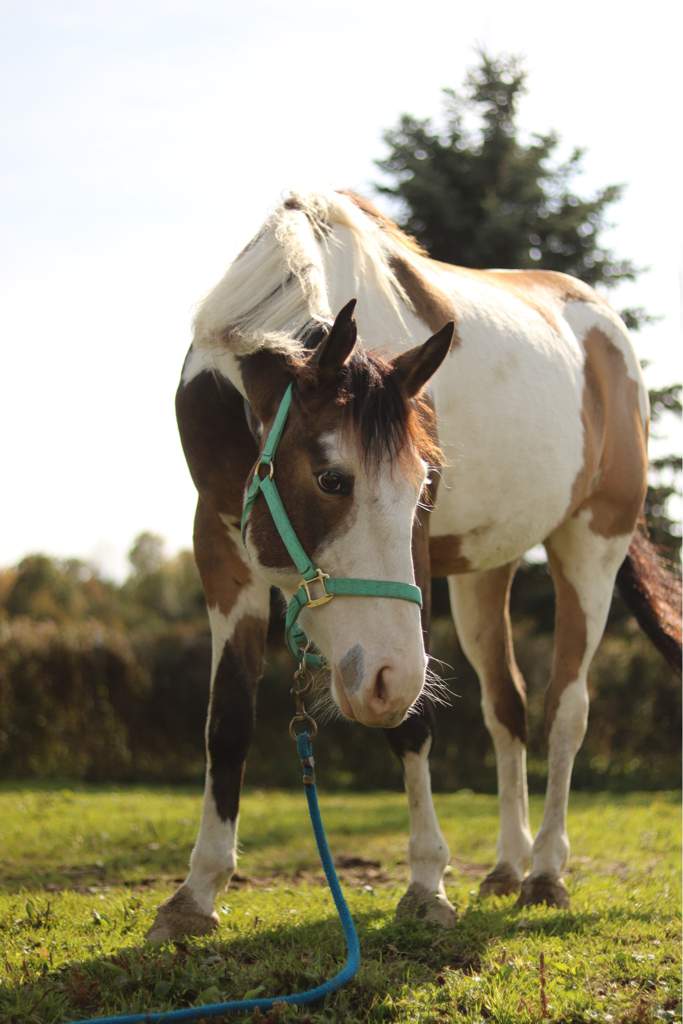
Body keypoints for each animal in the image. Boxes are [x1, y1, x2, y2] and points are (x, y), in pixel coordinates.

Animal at [147, 188, 679, 937]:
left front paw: (427, 883)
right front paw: (196, 894)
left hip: (590, 544)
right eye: (332, 478)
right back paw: (507, 867)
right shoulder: (220, 543)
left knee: (566, 710)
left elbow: (413, 722)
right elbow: (227, 720)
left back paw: (545, 872)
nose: (379, 678)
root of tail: (605, 330)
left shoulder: (419, 553)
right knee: (507, 708)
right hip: (487, 570)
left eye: (425, 485)